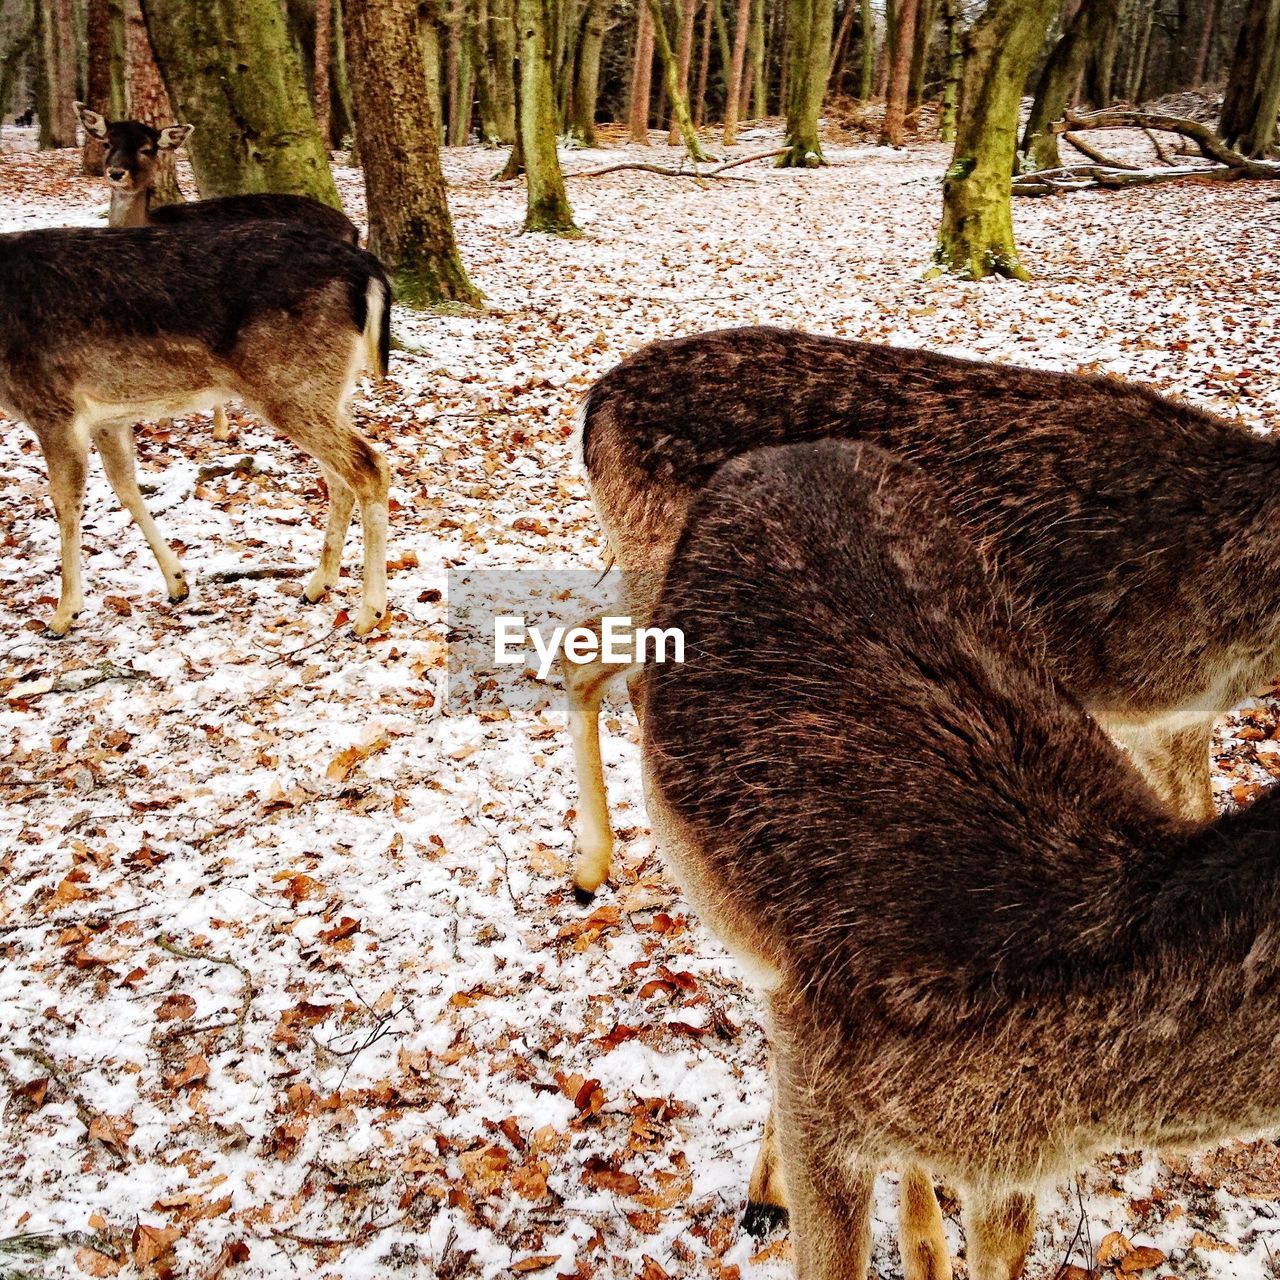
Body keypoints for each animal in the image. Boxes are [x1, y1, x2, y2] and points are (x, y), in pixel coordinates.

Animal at [0, 225, 391, 640]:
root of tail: (367, 267)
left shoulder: (53, 408)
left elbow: (65, 502)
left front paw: (63, 615)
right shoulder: (108, 416)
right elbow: (126, 486)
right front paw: (177, 583)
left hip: (292, 386)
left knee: (369, 467)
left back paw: (369, 613)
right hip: (328, 390)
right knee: (339, 478)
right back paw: (318, 585)